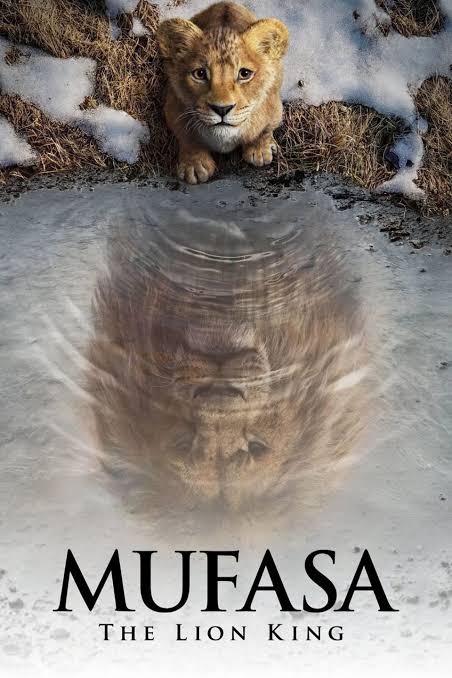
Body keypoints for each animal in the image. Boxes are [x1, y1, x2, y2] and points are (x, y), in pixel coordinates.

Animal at [157, 2, 289, 184]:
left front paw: (260, 150)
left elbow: (264, 130)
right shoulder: (173, 109)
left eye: (245, 74)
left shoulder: (275, 108)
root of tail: (226, 3)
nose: (222, 109)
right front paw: (194, 166)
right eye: (200, 74)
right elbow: (187, 137)